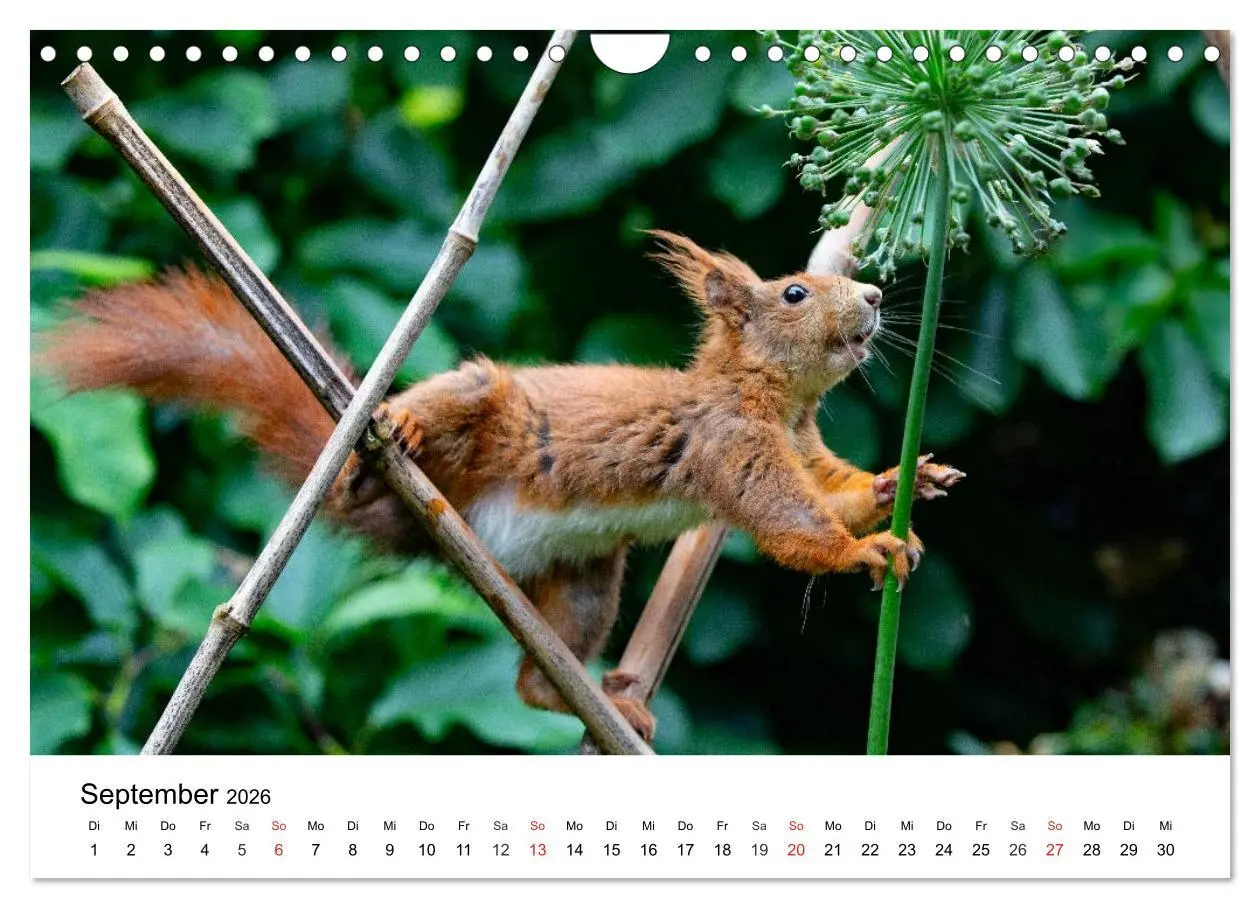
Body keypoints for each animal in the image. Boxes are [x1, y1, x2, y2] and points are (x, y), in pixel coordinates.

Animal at [39, 230, 964, 742]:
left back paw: (604, 701)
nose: (874, 294)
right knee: (429, 418)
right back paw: (384, 435)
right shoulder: (733, 445)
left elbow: (833, 492)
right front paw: (863, 552)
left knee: (529, 682)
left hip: (588, 579)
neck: (774, 399)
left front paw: (903, 484)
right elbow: (788, 522)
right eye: (795, 291)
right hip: (470, 409)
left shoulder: (804, 447)